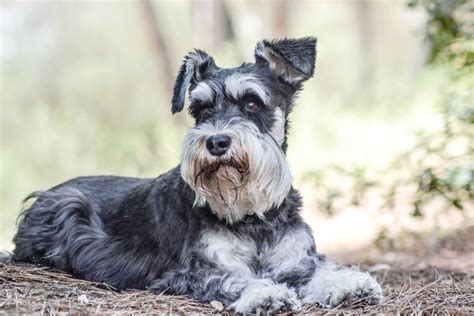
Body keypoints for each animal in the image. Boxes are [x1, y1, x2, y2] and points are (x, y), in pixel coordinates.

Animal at [11, 37, 384, 314]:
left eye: (252, 103)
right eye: (200, 110)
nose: (216, 142)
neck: (251, 214)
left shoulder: (295, 260)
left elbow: (321, 268)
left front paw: (350, 283)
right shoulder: (191, 272)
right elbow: (232, 280)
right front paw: (264, 294)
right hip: (66, 206)